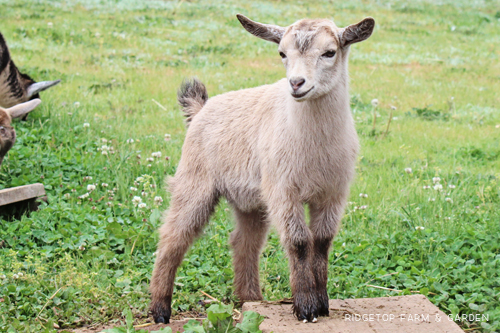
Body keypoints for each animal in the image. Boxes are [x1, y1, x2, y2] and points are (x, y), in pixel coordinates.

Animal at [151, 14, 376, 322]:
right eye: (282, 53)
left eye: (329, 52)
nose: (296, 83)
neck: (314, 146)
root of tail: (200, 109)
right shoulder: (283, 190)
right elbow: (299, 241)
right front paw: (305, 306)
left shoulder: (333, 194)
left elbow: (321, 241)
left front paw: (323, 304)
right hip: (194, 181)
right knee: (173, 237)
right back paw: (160, 309)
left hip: (251, 201)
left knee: (243, 242)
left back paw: (250, 299)